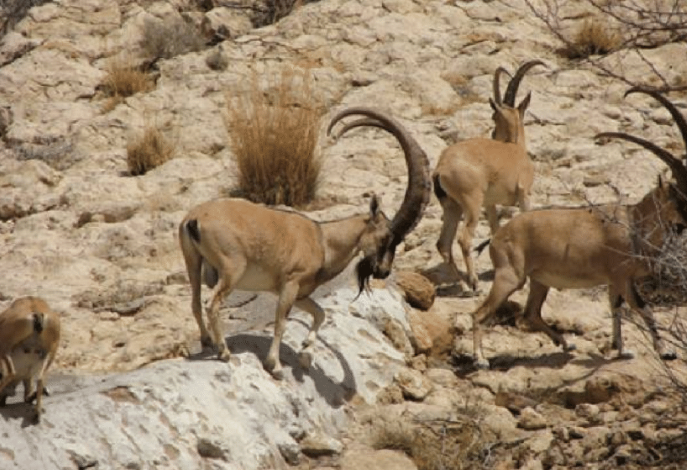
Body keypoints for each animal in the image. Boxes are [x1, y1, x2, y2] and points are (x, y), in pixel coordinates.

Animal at [179, 108, 430, 379]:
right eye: (385, 237)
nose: (383, 272)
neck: (322, 240)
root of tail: (194, 219)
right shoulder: (291, 283)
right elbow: (281, 321)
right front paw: (275, 366)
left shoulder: (297, 292)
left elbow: (320, 313)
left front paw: (306, 351)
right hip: (232, 269)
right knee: (212, 303)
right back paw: (223, 351)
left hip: (193, 262)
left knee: (195, 302)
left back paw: (207, 342)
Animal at [432, 60, 544, 292]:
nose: (493, 134)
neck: (514, 148)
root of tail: (441, 168)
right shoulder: (524, 193)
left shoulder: (490, 204)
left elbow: (495, 231)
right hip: (471, 203)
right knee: (464, 240)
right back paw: (474, 283)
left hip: (452, 206)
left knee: (443, 244)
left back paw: (464, 285)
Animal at [470, 87, 686, 369]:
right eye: (678, 197)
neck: (634, 223)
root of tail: (497, 237)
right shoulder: (622, 277)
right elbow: (643, 308)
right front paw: (665, 352)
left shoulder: (614, 281)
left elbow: (616, 309)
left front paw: (621, 349)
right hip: (510, 277)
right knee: (480, 313)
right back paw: (480, 359)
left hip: (539, 281)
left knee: (531, 313)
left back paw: (566, 344)